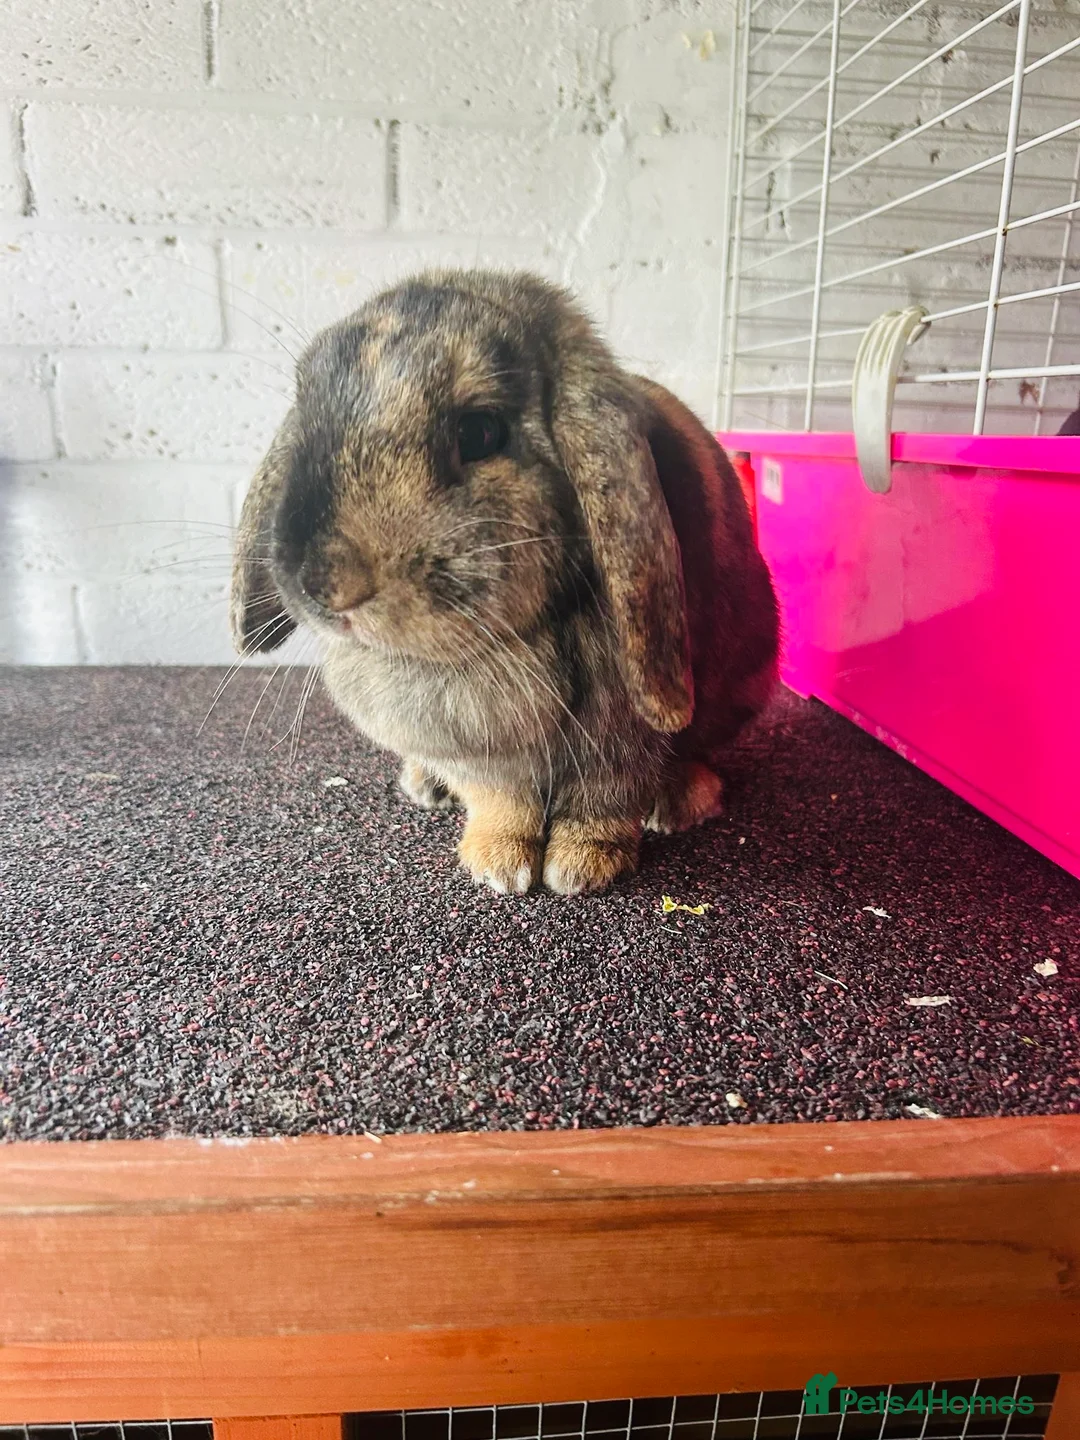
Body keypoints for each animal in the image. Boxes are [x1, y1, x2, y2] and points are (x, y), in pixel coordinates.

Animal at [230, 269, 779, 895]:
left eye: (480, 431)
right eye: (306, 413)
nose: (325, 582)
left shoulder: (622, 745)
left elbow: (605, 804)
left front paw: (581, 868)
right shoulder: (481, 758)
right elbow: (502, 803)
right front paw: (499, 864)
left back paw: (682, 801)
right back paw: (425, 785)